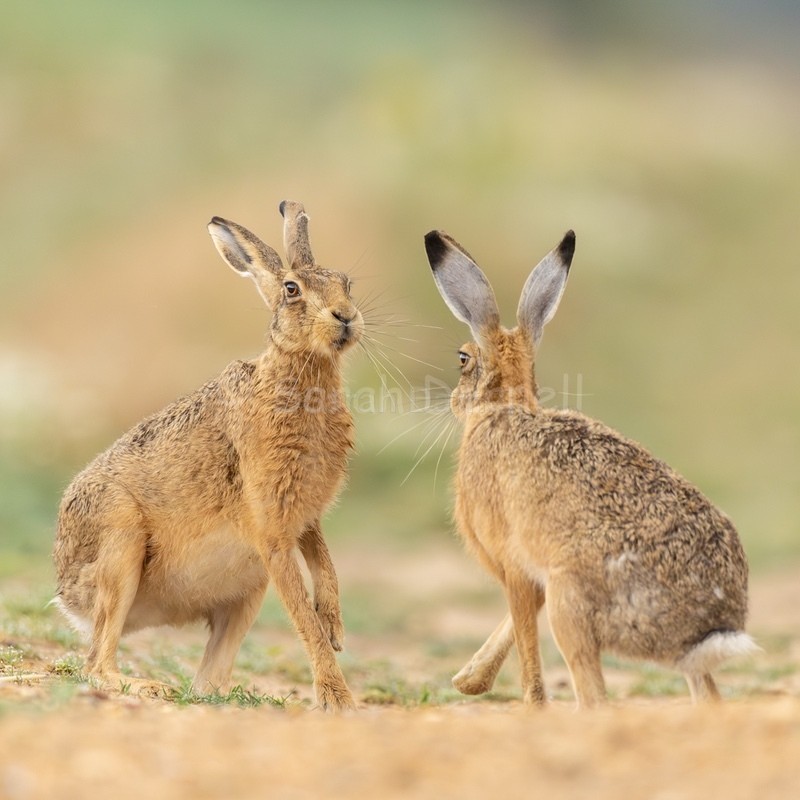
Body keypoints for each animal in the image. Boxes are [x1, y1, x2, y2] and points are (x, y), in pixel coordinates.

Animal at [53, 201, 362, 711]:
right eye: (292, 290)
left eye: (347, 282)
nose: (346, 317)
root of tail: (66, 596)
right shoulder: (273, 530)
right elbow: (305, 621)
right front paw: (337, 699)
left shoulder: (304, 516)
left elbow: (326, 565)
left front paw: (336, 626)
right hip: (120, 546)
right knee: (96, 663)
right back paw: (147, 687)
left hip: (248, 585)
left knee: (207, 681)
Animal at [423, 228, 758, 708]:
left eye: (463, 359)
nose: (453, 400)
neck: (504, 407)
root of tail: (707, 627)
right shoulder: (532, 573)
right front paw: (469, 680)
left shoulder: (515, 565)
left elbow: (526, 644)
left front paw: (524, 703)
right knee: (707, 696)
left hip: (572, 605)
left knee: (594, 695)